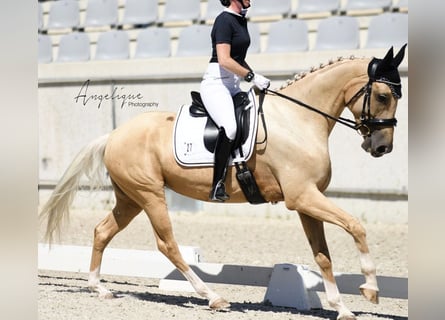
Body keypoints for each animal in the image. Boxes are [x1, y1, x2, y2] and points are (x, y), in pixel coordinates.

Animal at [40, 45, 406, 320]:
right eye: (383, 95)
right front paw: (371, 290)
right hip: (149, 195)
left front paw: (342, 308)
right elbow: (356, 226)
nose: (382, 147)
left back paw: (99, 288)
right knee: (168, 245)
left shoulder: (308, 201)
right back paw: (213, 297)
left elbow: (323, 256)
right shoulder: (302, 197)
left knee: (102, 231)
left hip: (130, 198)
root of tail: (114, 135)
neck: (298, 120)